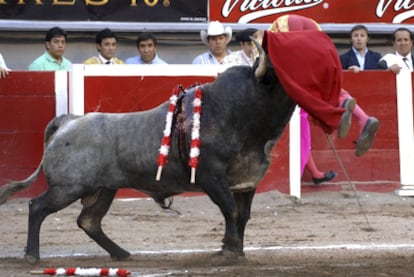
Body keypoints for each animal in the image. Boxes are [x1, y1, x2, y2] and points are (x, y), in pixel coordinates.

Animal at [0, 48, 296, 264]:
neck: (240, 110)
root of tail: (68, 121)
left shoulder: (247, 182)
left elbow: (242, 215)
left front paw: (238, 252)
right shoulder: (212, 178)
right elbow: (230, 210)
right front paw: (228, 251)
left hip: (104, 188)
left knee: (89, 221)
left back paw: (121, 254)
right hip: (68, 187)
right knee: (37, 207)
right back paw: (32, 255)